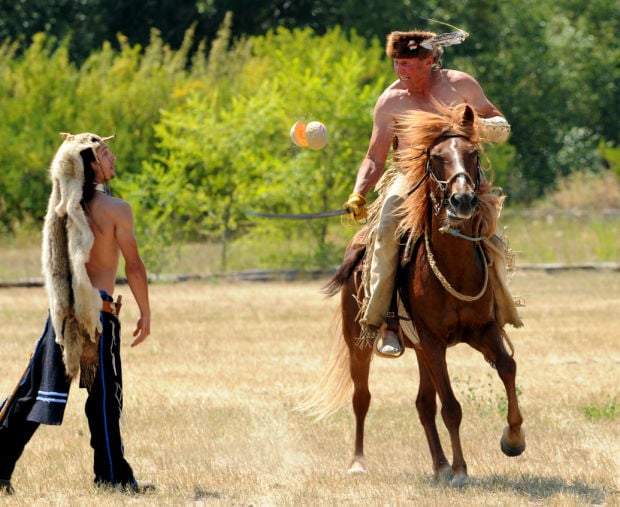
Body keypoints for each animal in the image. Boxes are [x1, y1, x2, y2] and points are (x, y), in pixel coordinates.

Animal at [302, 104, 524, 488]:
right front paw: (461, 471)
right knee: (362, 398)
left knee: (423, 404)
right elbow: (451, 407)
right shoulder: (433, 341)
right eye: (436, 158)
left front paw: (513, 439)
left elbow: (508, 369)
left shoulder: (482, 331)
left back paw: (439, 465)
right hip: (360, 342)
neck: (453, 268)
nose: (463, 200)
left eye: (473, 154)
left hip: (420, 350)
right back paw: (359, 462)